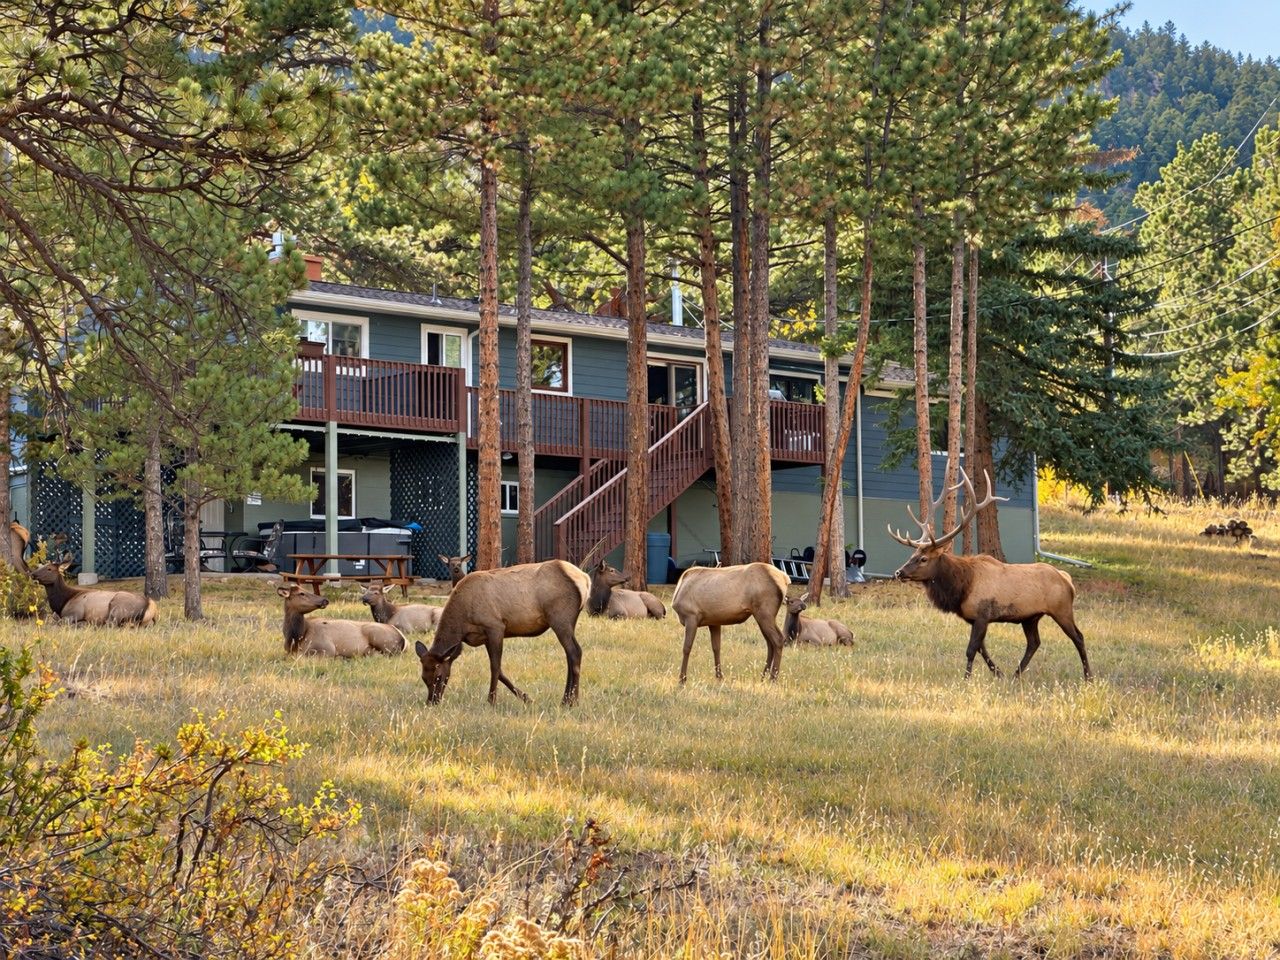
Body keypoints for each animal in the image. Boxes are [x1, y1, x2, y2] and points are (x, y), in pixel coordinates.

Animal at [276, 583, 405, 657]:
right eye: (301, 593)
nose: (325, 600)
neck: (296, 637)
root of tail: (403, 639)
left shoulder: (327, 648)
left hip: (379, 638)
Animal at [413, 559, 591, 705]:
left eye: (438, 676)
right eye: (423, 677)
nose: (432, 701)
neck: (462, 625)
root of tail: (585, 579)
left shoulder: (495, 627)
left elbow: (495, 667)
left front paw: (491, 700)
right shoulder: (484, 636)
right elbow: (500, 671)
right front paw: (527, 698)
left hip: (560, 618)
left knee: (575, 652)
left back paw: (572, 701)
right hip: (569, 621)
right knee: (569, 655)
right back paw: (567, 698)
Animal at [888, 468, 1090, 680]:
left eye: (924, 559)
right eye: (912, 555)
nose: (899, 572)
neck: (962, 588)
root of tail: (1067, 579)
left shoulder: (982, 614)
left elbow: (971, 649)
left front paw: (966, 678)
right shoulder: (973, 618)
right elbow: (981, 648)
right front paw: (998, 673)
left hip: (1062, 609)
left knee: (1078, 637)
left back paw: (1088, 676)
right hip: (1030, 617)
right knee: (1034, 642)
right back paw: (1015, 676)